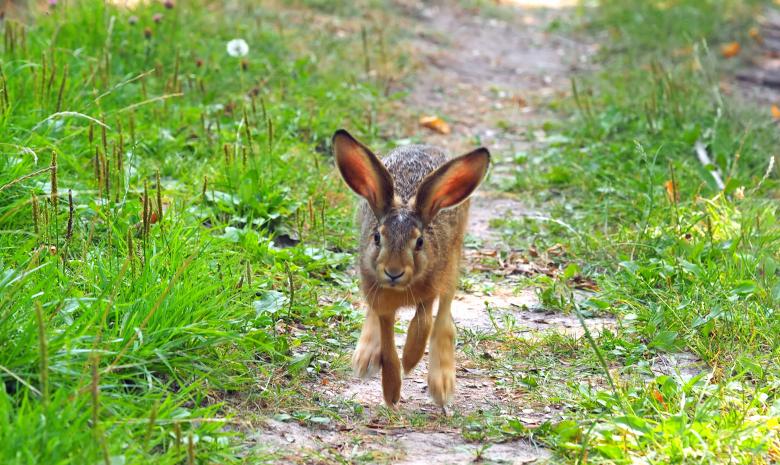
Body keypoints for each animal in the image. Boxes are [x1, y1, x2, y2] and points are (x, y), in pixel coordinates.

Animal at [332, 129, 490, 409]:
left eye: (419, 242)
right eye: (377, 237)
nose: (393, 272)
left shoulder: (430, 288)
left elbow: (423, 323)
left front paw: (411, 358)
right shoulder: (380, 302)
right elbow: (386, 341)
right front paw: (392, 391)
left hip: (453, 261)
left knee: (444, 317)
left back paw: (442, 383)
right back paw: (364, 358)